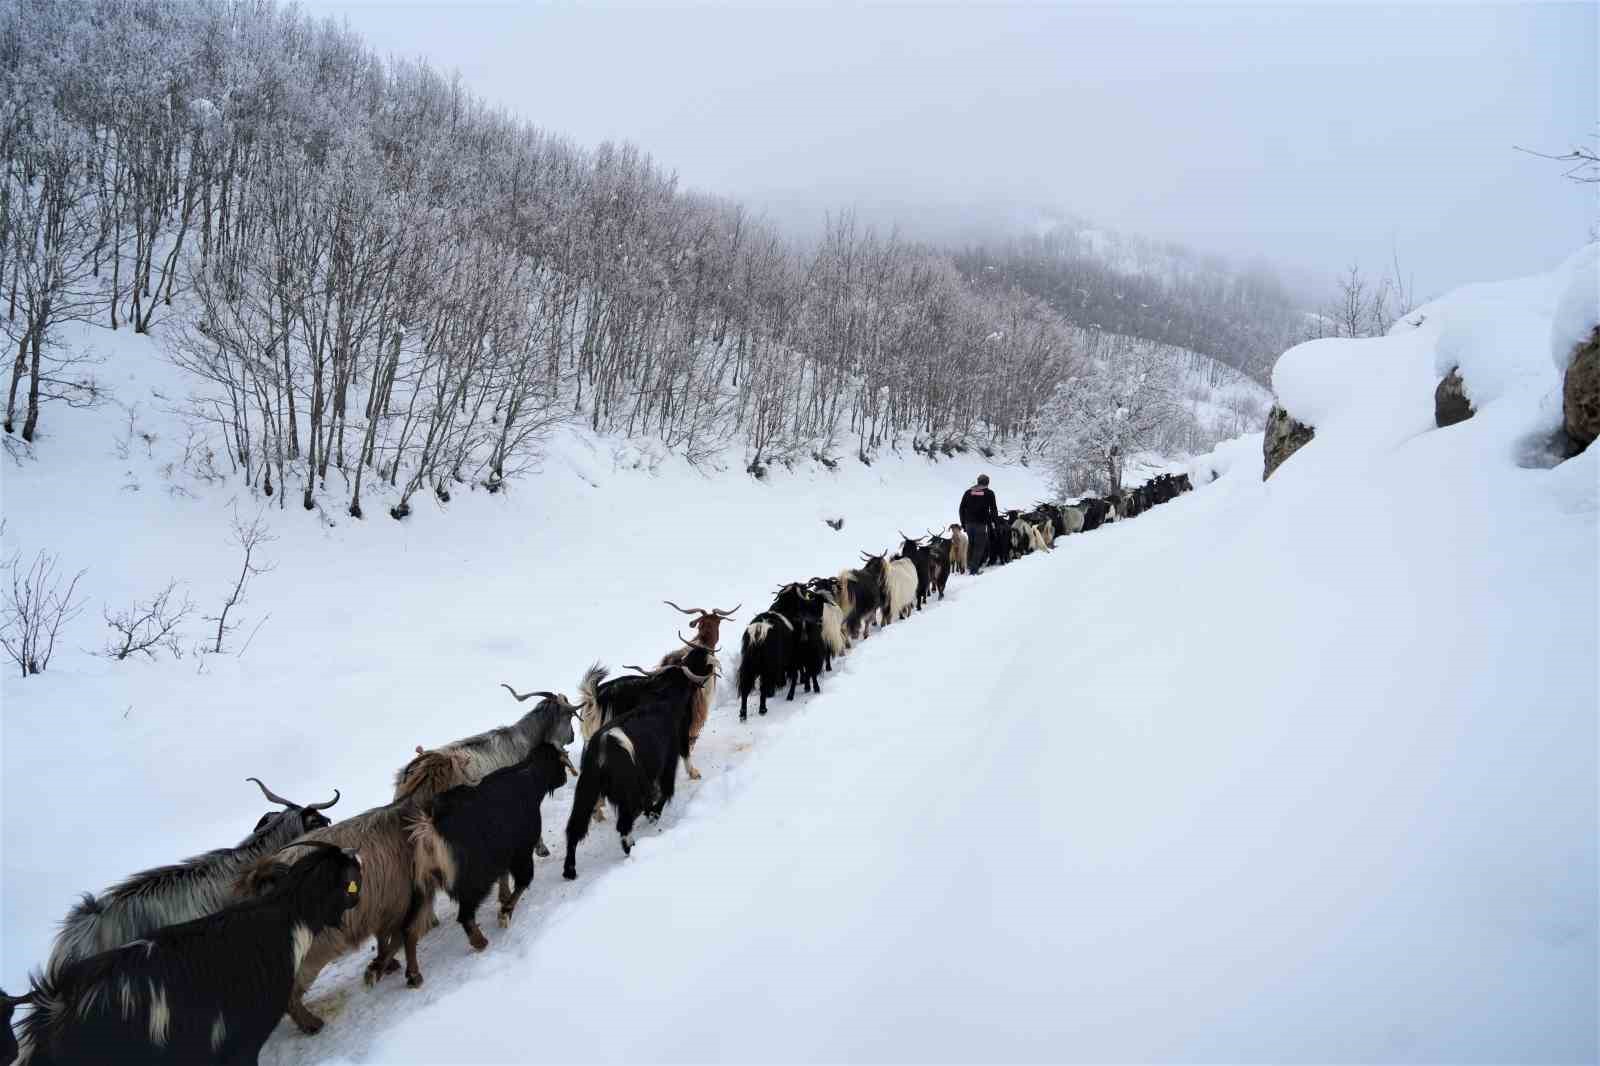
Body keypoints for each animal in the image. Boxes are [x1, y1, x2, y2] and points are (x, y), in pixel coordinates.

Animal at [406, 736, 569, 947]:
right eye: (560, 762)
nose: (565, 778)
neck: (529, 777)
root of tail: (431, 829)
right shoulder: (521, 850)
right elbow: (523, 882)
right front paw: (505, 913)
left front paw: (504, 900)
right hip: (474, 880)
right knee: (465, 915)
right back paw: (480, 942)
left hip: (423, 886)